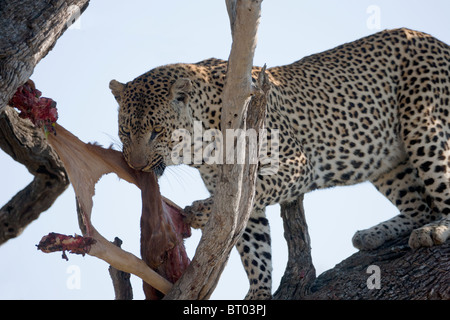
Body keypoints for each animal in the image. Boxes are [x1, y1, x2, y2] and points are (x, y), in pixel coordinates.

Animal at [110, 28, 450, 300]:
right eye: (125, 131)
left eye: (157, 132)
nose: (137, 166)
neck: (200, 144)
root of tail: (437, 41)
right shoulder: (241, 190)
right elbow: (254, 248)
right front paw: (259, 293)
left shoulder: (294, 163)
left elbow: (249, 195)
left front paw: (200, 212)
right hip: (387, 162)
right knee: (420, 206)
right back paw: (371, 235)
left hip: (423, 127)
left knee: (440, 196)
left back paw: (433, 230)